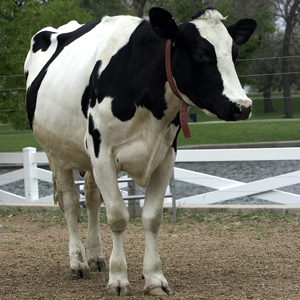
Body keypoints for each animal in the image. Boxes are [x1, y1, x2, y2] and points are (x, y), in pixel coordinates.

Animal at [24, 7, 256, 298]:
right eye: (202, 54)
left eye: (234, 53)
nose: (243, 106)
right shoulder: (103, 154)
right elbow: (118, 217)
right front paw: (118, 279)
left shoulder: (165, 156)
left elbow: (152, 218)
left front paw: (155, 278)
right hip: (55, 153)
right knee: (71, 203)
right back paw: (78, 262)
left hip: (87, 159)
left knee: (91, 200)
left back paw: (95, 257)